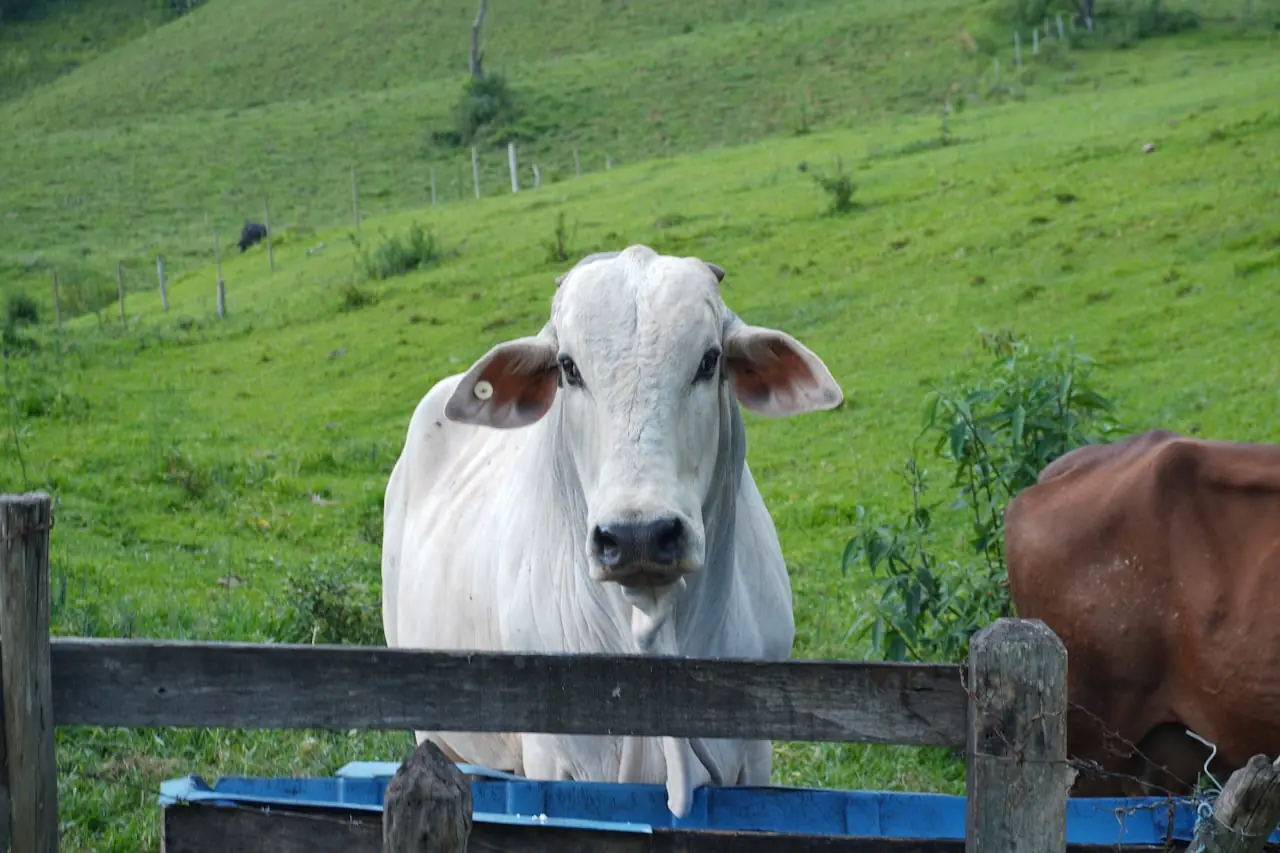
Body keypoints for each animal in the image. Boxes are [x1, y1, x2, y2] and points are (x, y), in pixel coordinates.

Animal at [380, 244, 844, 817]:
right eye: (568, 367)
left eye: (709, 360)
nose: (637, 537)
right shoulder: (552, 758)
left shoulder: (755, 753)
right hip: (434, 731)